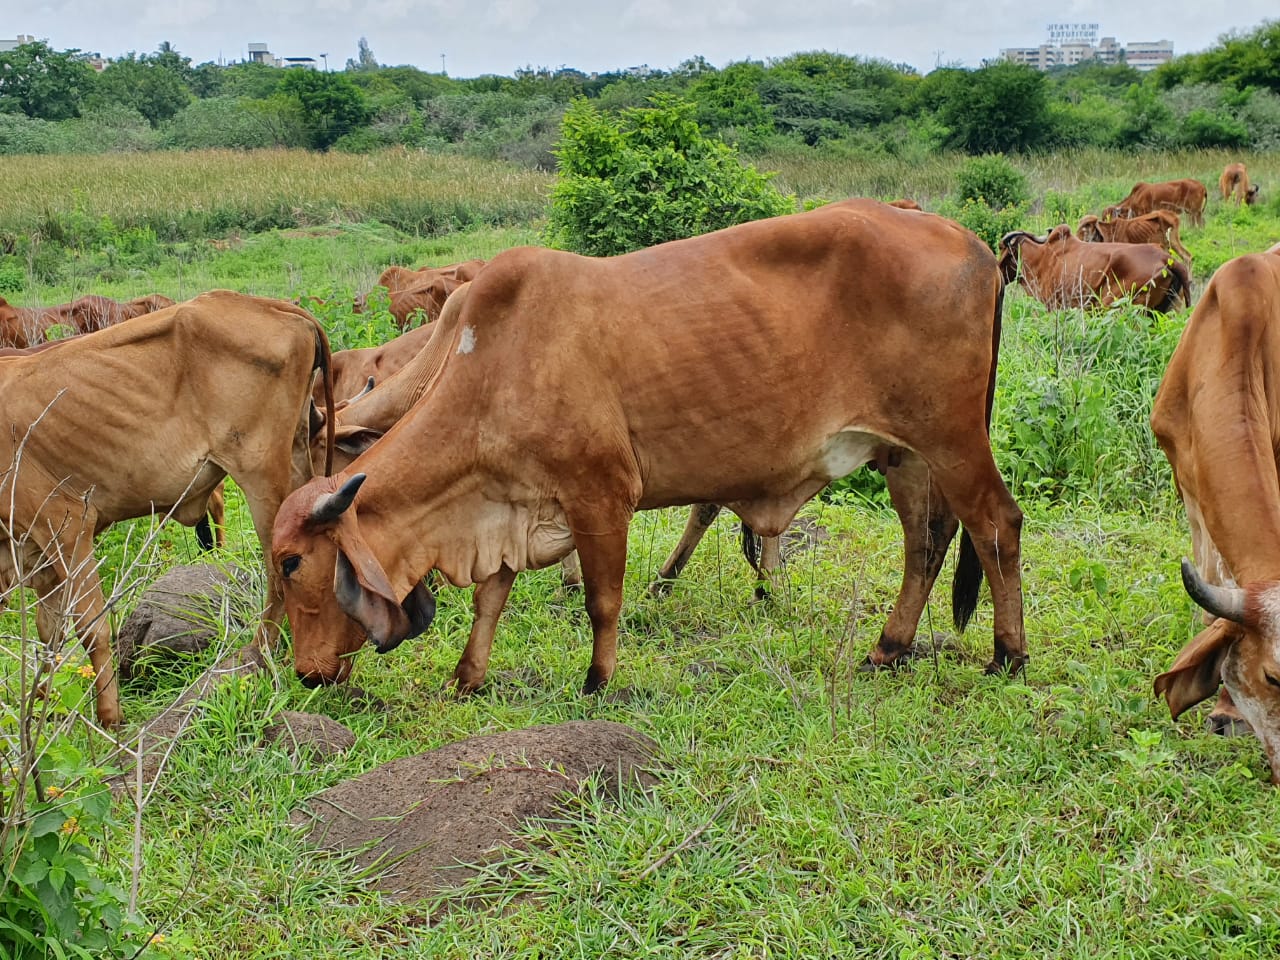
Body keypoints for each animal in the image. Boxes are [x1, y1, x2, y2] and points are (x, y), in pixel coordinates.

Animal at [0, 290, 335, 727]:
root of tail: (274, 306)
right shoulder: (36, 553)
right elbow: (48, 634)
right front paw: (41, 705)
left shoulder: (66, 523)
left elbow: (91, 628)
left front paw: (109, 716)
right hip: (294, 458)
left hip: (262, 473)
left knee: (279, 570)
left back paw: (259, 652)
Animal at [271, 199, 1026, 699]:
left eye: (291, 563)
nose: (305, 674)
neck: (489, 363)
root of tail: (972, 242)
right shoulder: (508, 501)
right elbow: (492, 596)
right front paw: (468, 676)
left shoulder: (602, 495)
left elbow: (602, 600)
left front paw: (598, 680)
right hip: (904, 453)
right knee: (925, 542)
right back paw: (888, 648)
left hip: (953, 438)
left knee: (996, 526)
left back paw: (1007, 654)